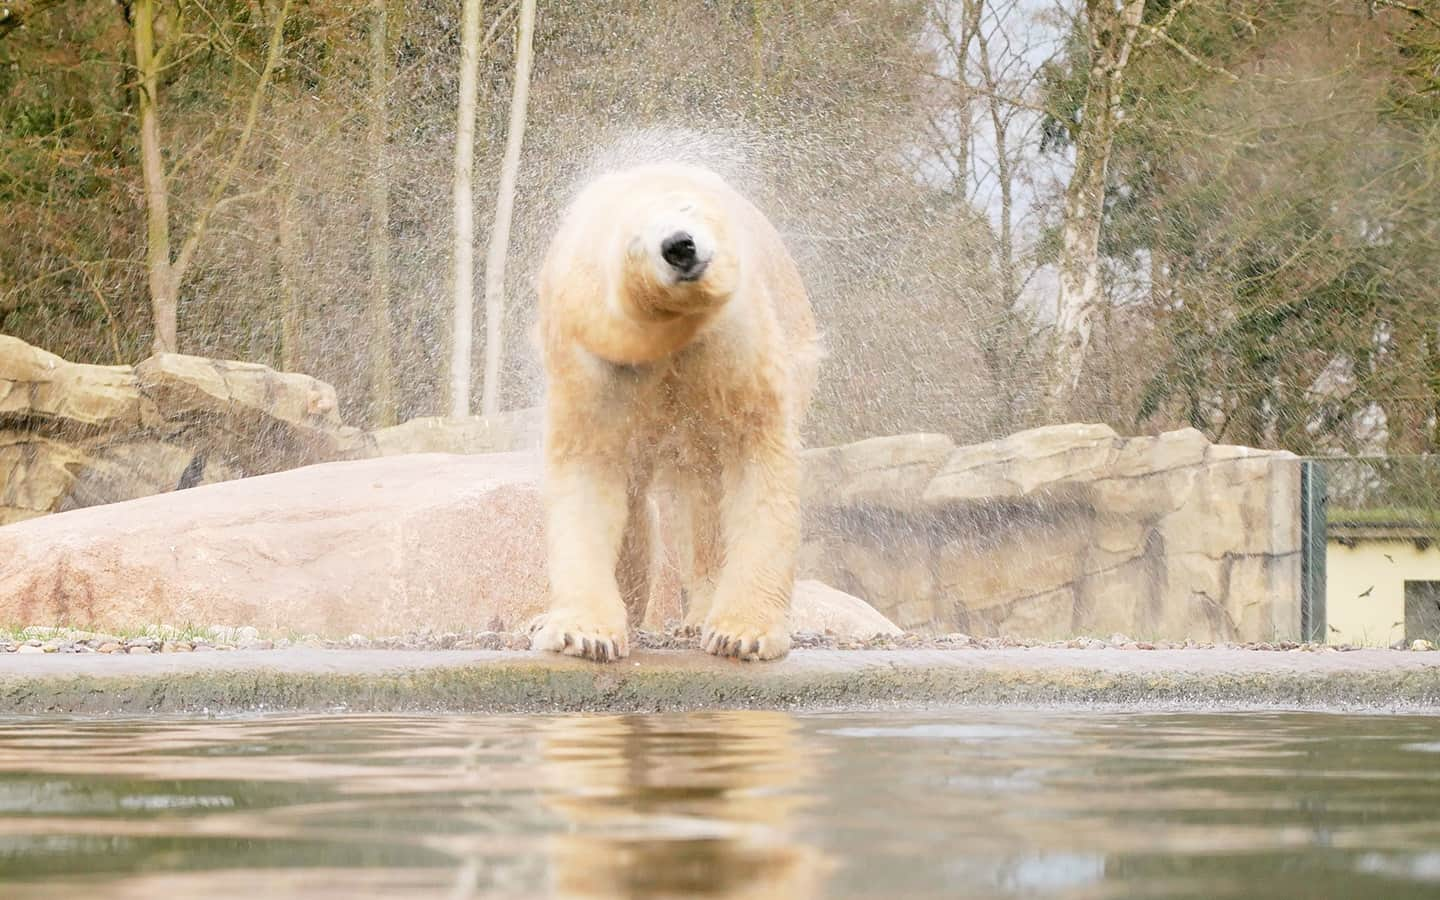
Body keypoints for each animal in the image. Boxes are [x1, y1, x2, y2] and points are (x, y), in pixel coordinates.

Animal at [532, 163, 823, 659]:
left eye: (686, 206)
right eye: (634, 242)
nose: (679, 245)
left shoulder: (731, 341)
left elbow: (755, 454)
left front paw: (739, 634)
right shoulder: (596, 360)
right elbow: (590, 471)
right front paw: (585, 634)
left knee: (703, 499)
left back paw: (699, 614)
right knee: (641, 506)